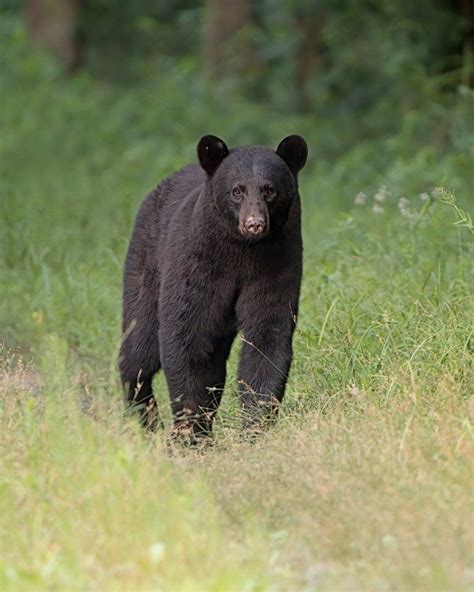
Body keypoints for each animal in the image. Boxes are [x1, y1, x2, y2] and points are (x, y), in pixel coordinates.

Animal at [119, 134, 308, 440]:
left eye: (269, 190)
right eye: (237, 190)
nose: (254, 224)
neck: (242, 251)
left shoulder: (277, 263)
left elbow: (267, 337)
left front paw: (254, 427)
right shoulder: (198, 263)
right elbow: (186, 336)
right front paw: (190, 433)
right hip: (144, 266)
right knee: (139, 347)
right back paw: (144, 420)